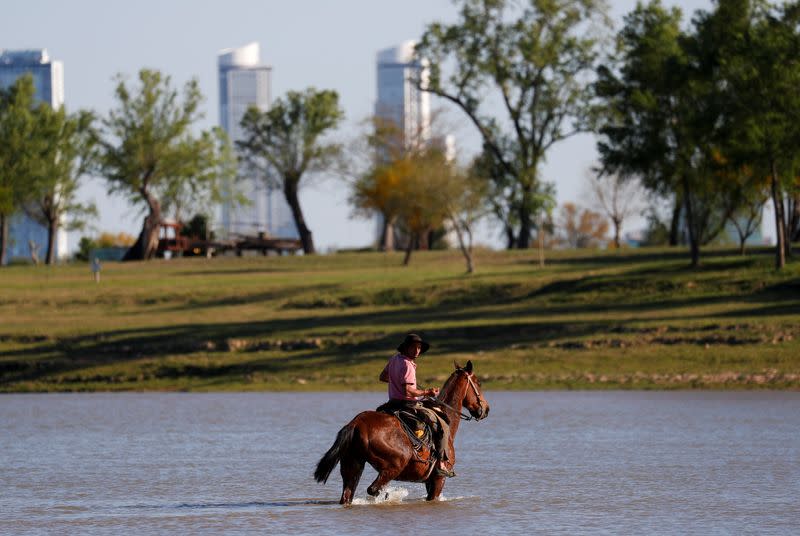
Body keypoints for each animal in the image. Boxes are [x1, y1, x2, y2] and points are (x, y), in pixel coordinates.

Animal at [312, 360, 488, 502]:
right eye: (478, 383)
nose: (486, 409)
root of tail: (356, 423)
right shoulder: (439, 479)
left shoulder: (429, 481)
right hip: (393, 466)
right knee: (373, 489)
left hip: (353, 465)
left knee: (348, 495)